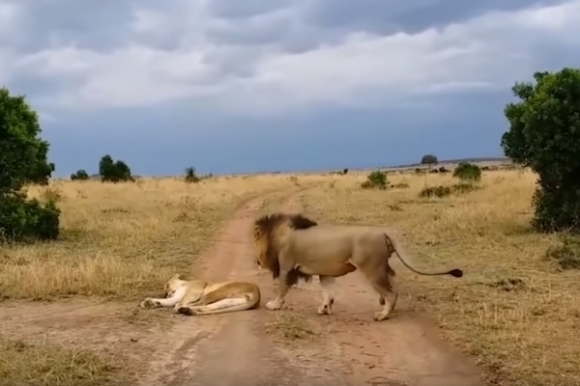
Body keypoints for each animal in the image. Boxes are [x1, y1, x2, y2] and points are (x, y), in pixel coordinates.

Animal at [253, 213, 462, 322]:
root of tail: (382, 232)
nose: (256, 261)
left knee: (391, 293)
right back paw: (386, 309)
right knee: (394, 285)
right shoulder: (325, 272)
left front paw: (274, 305)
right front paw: (325, 309)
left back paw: (382, 315)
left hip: (372, 269)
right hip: (382, 268)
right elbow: (328, 292)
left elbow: (282, 289)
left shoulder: (287, 267)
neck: (278, 235)